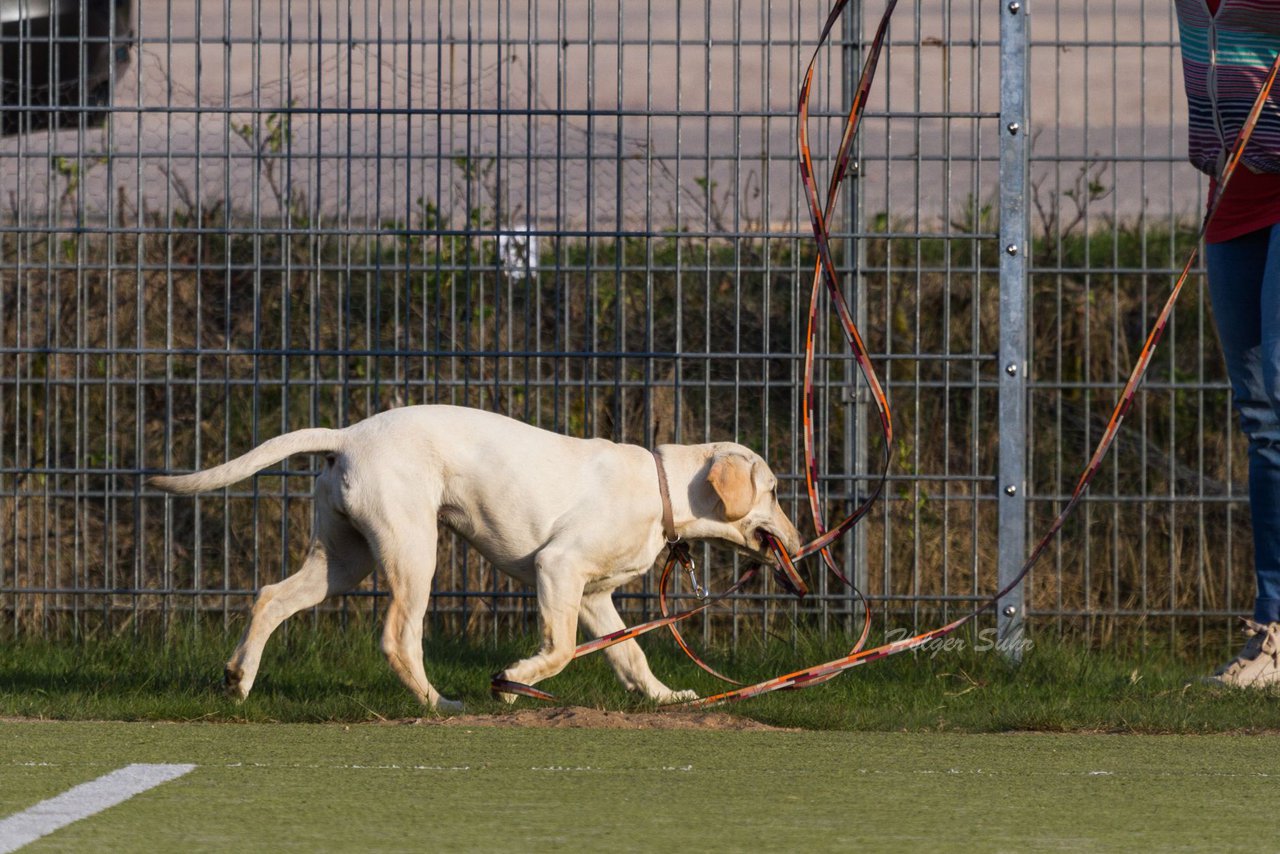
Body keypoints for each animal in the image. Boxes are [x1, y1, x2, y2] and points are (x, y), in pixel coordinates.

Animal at [149, 404, 798, 711]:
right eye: (772, 491)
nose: (797, 542)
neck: (661, 488)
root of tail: (349, 436)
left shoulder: (592, 596)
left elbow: (630, 655)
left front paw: (665, 698)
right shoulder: (557, 568)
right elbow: (560, 651)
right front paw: (510, 685)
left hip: (342, 559)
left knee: (270, 598)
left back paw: (238, 681)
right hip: (413, 551)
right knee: (398, 637)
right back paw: (439, 703)